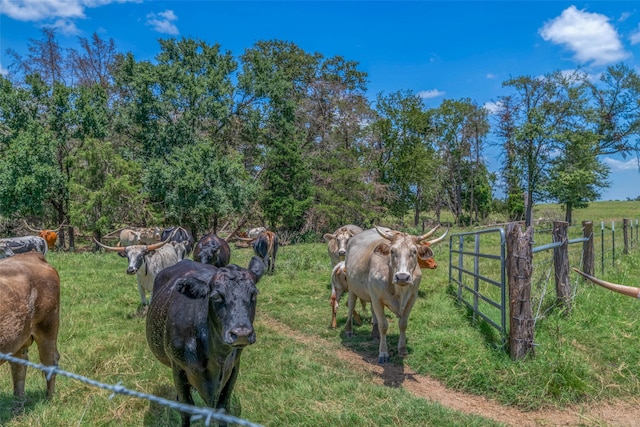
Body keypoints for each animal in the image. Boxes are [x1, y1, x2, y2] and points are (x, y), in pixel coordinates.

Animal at [0, 252, 60, 406]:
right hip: (17, 338)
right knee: (19, 366)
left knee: (50, 362)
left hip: (48, 328)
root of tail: (31, 255)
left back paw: (49, 399)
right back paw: (18, 404)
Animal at [146, 258, 264, 427]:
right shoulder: (178, 368)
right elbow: (186, 409)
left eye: (254, 294)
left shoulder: (234, 367)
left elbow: (223, 409)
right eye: (216, 296)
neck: (217, 357)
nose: (241, 333)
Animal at [344, 226, 444, 362]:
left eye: (414, 251)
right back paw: (349, 330)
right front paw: (383, 352)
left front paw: (402, 349)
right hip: (352, 288)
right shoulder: (377, 298)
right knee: (351, 305)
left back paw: (375, 334)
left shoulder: (412, 298)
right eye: (392, 251)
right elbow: (383, 325)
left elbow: (403, 324)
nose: (402, 277)